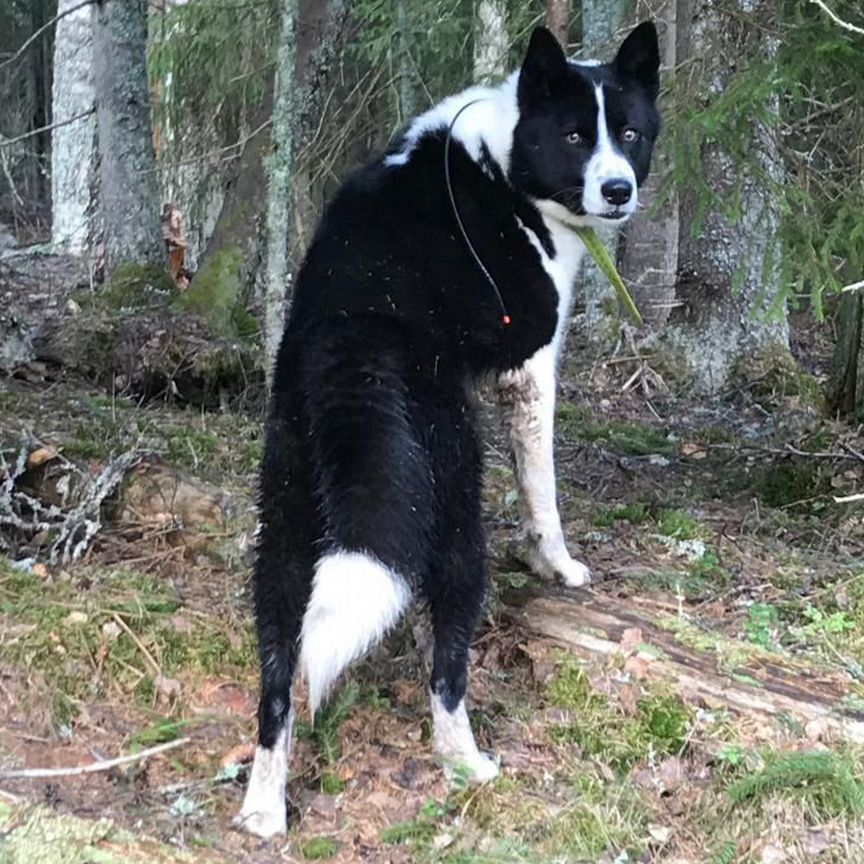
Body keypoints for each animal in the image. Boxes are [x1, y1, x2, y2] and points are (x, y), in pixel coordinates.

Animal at [236, 25, 656, 836]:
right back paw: (467, 762)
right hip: (454, 507)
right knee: (447, 668)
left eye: (628, 134)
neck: (505, 160)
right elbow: (541, 486)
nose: (618, 190)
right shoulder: (530, 368)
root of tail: (352, 345)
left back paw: (264, 808)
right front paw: (559, 566)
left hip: (287, 528)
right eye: (575, 136)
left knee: (278, 682)